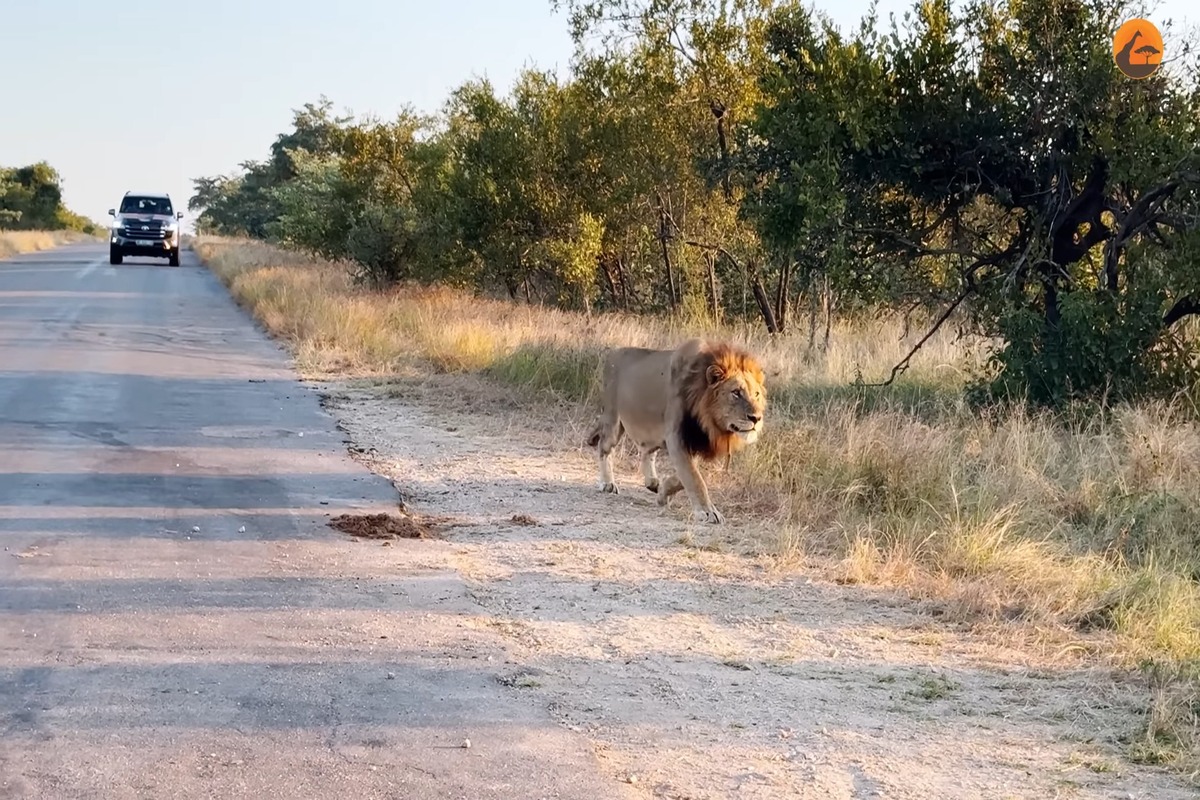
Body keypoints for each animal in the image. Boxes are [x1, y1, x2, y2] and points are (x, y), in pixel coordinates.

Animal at [584, 338, 767, 524]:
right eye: (736, 393)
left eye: (756, 394)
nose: (756, 418)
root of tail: (613, 352)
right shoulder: (676, 437)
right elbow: (694, 478)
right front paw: (708, 512)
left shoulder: (696, 441)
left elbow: (684, 475)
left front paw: (663, 493)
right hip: (613, 421)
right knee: (604, 447)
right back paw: (607, 483)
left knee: (647, 452)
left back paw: (653, 482)